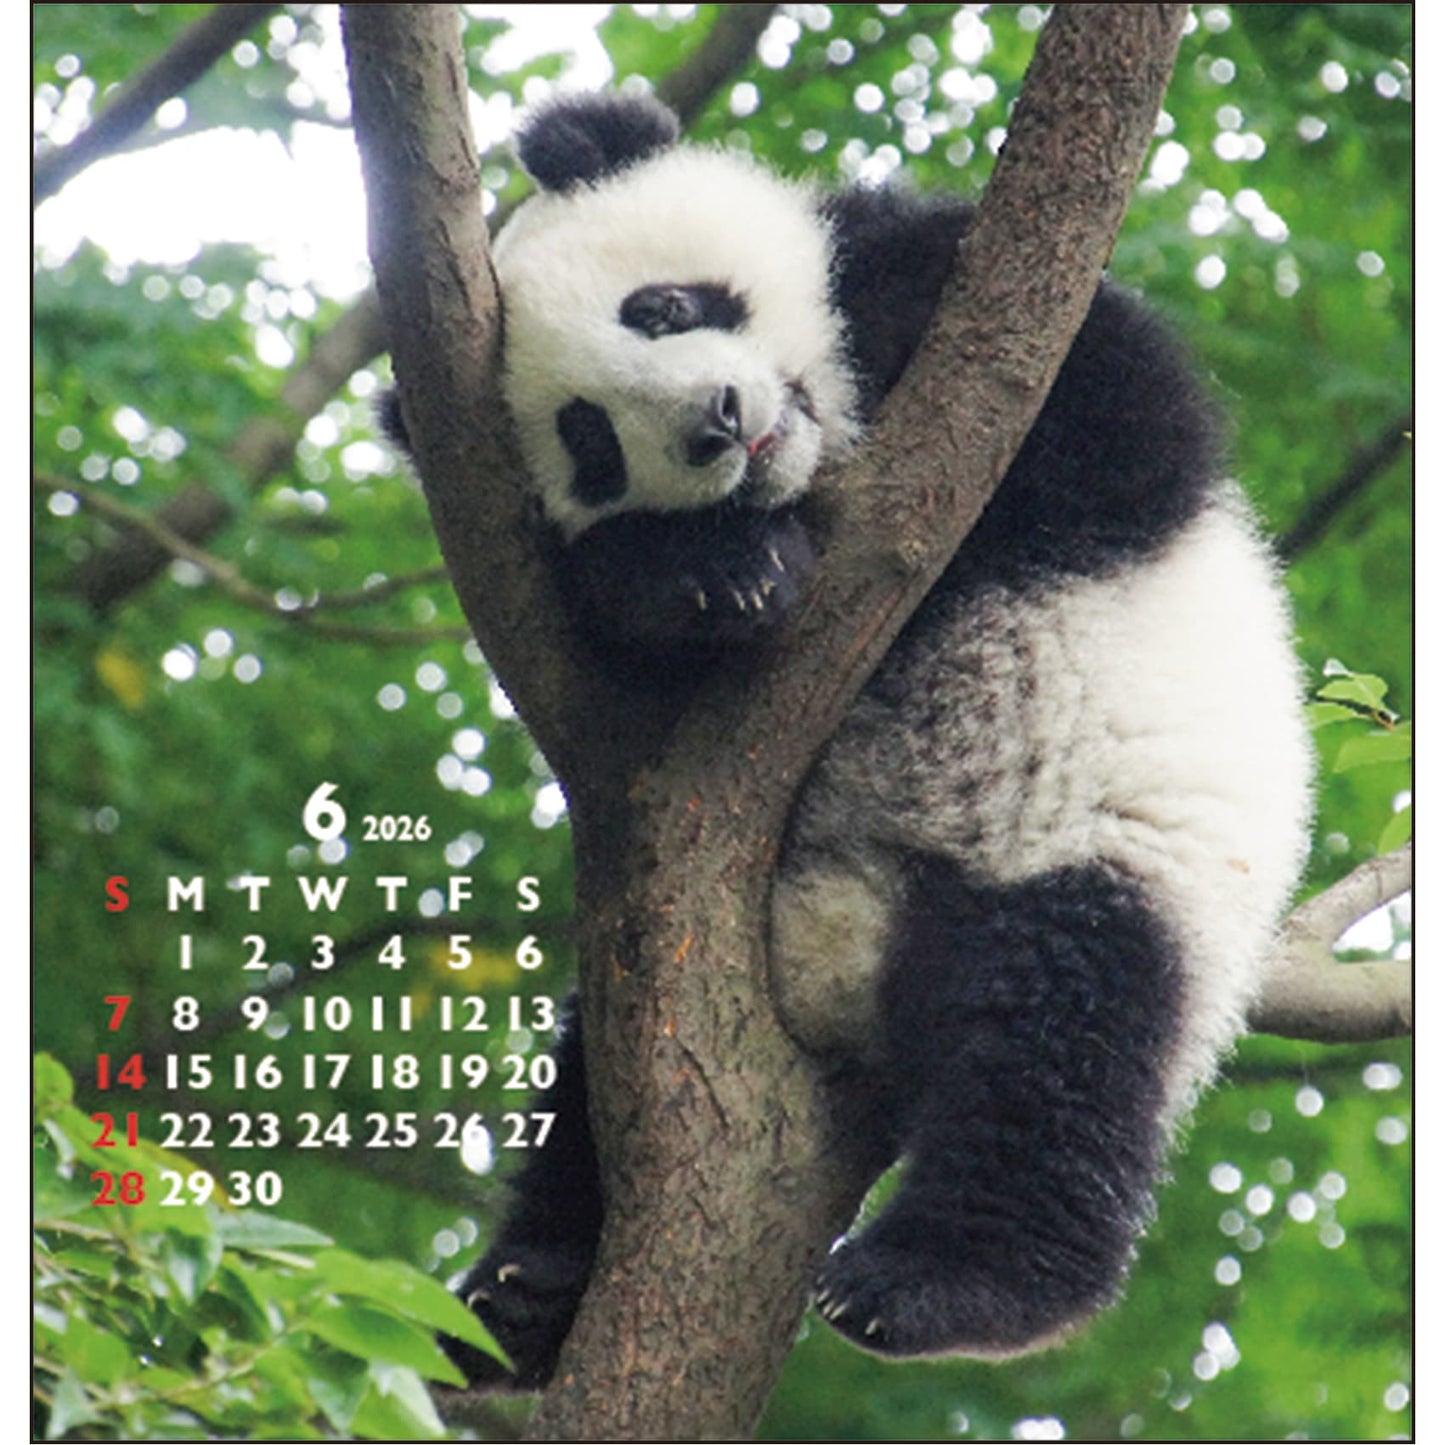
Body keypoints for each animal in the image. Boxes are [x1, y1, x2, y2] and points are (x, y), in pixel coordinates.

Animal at [383, 92, 1313, 1388]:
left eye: (662, 308)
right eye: (590, 443)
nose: (718, 425)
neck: (822, 460)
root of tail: (847, 958)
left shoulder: (1016, 330)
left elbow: (1091, 424)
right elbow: (627, 638)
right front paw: (715, 569)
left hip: (1100, 858)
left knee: (1057, 1028)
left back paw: (939, 1279)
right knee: (592, 1092)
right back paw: (526, 1291)